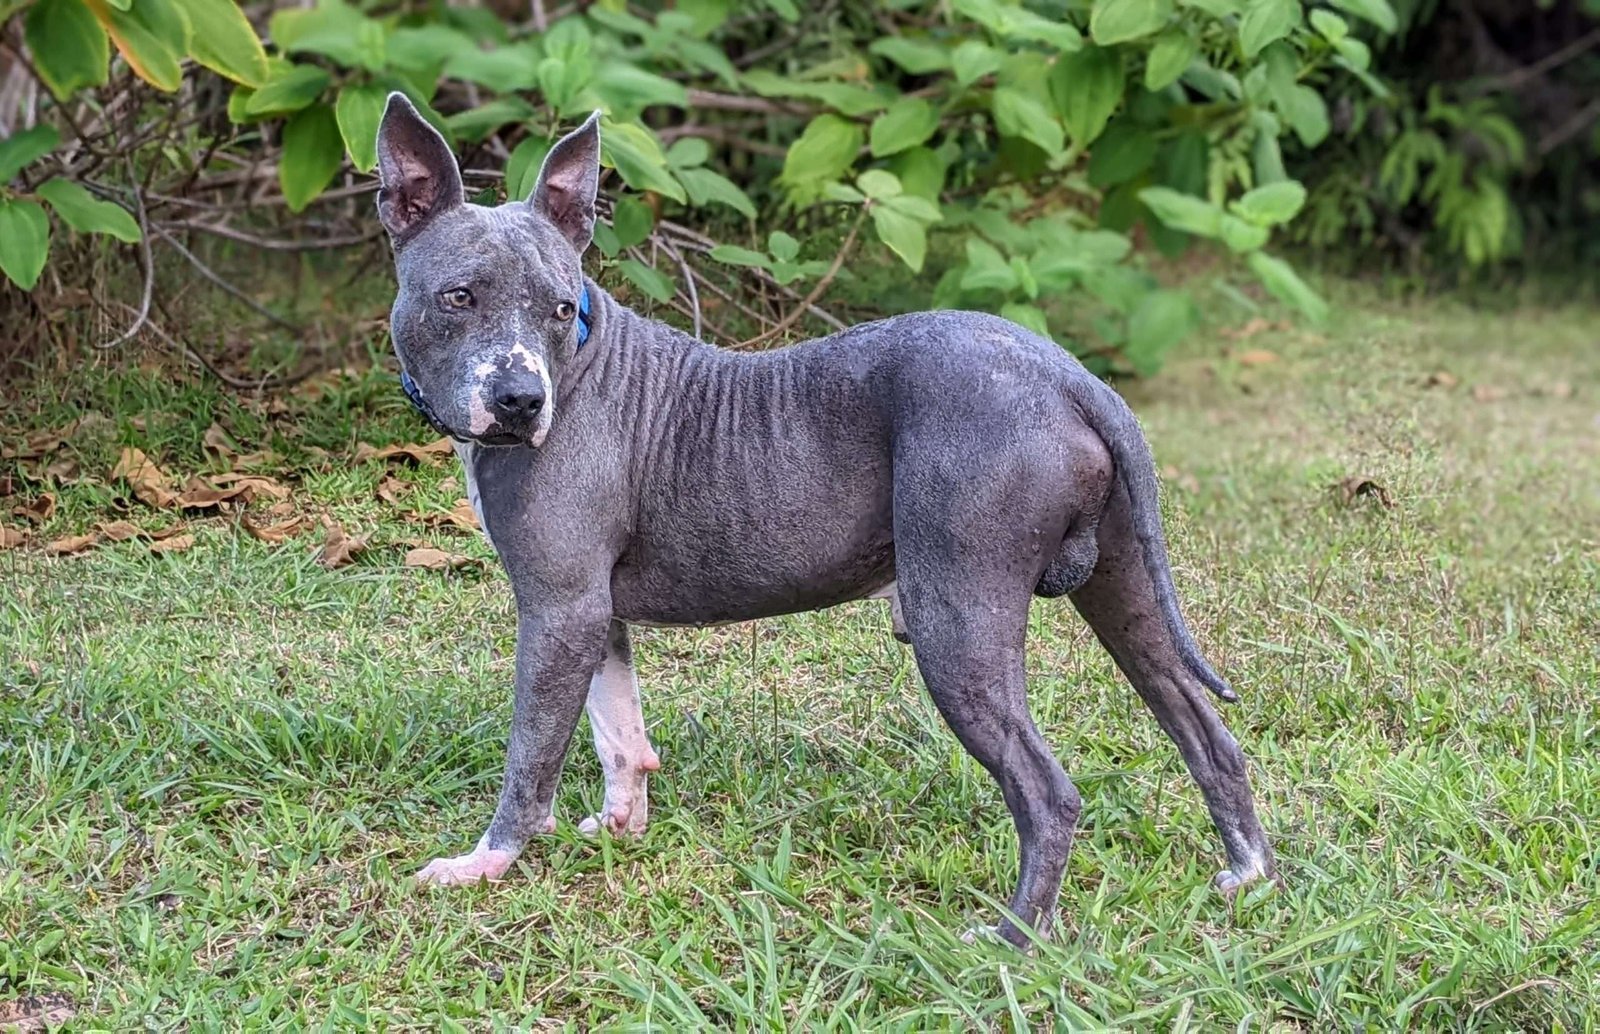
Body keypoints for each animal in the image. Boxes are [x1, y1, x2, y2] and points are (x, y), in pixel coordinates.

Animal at [374, 95, 1273, 947]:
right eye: (460, 297)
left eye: (561, 309)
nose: (521, 400)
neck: (581, 361)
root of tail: (1067, 376)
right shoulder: (592, 613)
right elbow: (615, 729)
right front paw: (621, 823)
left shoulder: (558, 609)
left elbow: (532, 755)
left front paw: (487, 863)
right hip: (1123, 592)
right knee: (1207, 734)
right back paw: (1250, 875)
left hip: (959, 624)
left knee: (1049, 794)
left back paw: (1013, 940)